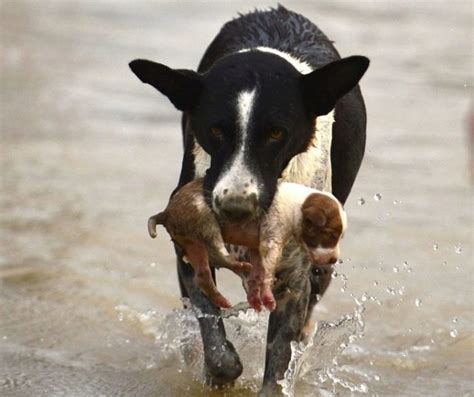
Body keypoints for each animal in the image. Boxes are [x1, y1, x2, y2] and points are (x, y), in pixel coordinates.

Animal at [146, 179, 346, 312]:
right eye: (331, 235)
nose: (334, 259)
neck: (297, 207)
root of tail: (166, 212)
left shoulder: (256, 248)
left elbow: (258, 272)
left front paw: (255, 296)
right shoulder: (270, 240)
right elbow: (267, 271)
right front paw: (267, 297)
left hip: (193, 243)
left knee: (203, 275)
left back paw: (223, 297)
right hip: (204, 219)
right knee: (218, 250)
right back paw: (237, 266)